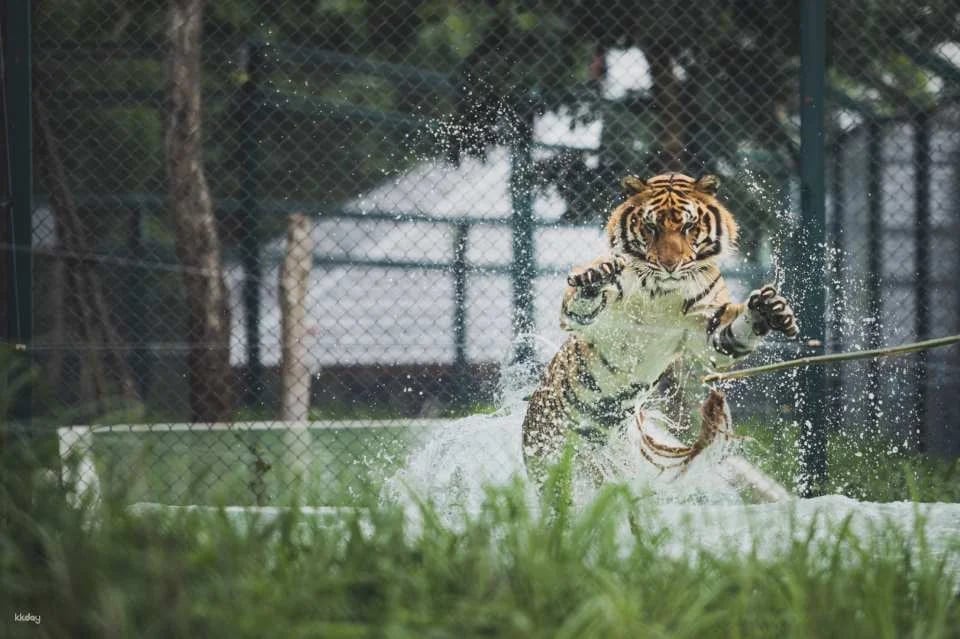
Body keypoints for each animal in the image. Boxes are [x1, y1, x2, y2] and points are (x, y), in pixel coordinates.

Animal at [521, 172, 798, 481]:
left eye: (689, 227)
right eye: (651, 227)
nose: (670, 265)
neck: (662, 291)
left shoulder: (710, 330)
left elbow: (729, 336)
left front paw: (767, 309)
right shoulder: (583, 318)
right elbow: (582, 303)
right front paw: (596, 277)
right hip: (546, 451)